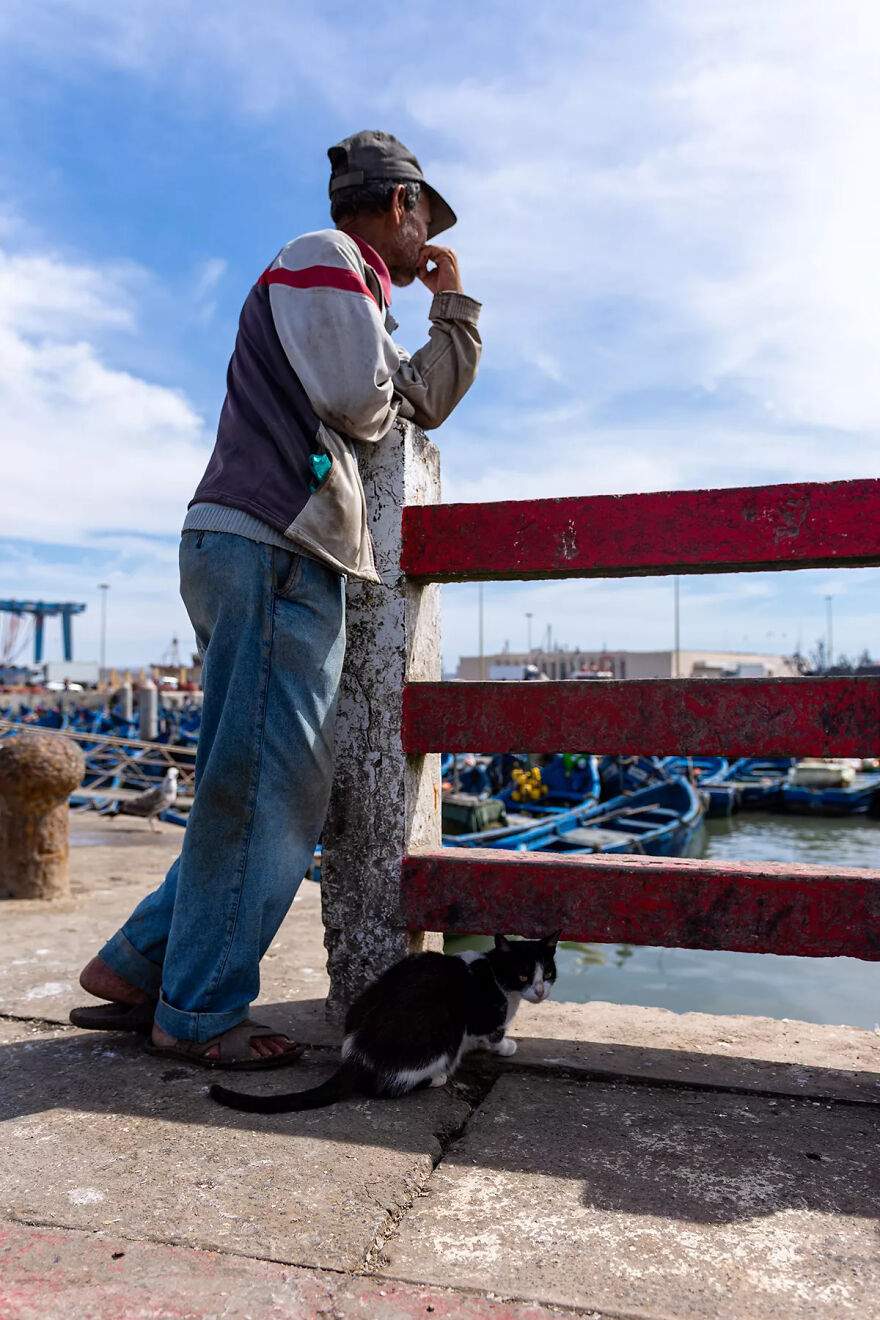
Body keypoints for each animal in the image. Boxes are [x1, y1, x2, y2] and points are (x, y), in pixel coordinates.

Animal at [208, 939, 556, 1114]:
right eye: (524, 975)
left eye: (549, 973)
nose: (540, 991)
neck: (494, 972)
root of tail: (357, 1056)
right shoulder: (485, 1015)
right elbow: (494, 1032)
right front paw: (506, 1046)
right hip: (440, 1031)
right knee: (386, 1087)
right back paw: (436, 1078)